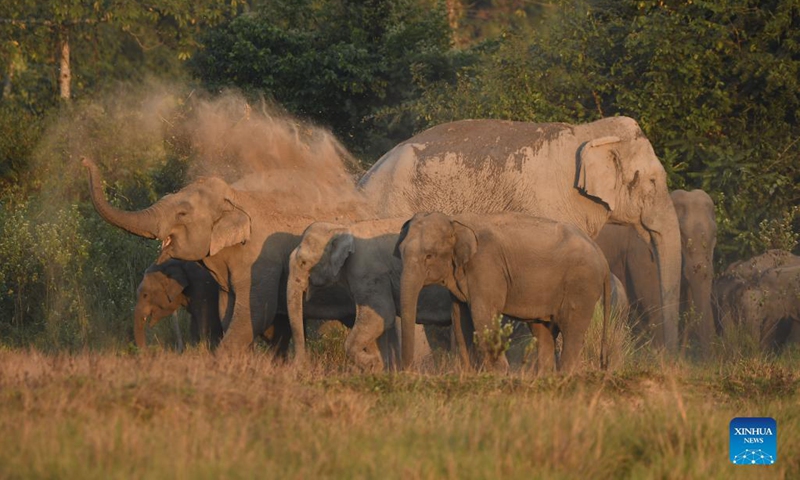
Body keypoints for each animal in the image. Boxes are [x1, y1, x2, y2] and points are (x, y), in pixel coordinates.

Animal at [396, 212, 612, 374]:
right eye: (400, 253)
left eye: (429, 256)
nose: (409, 372)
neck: (455, 222)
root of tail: (601, 254)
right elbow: (459, 318)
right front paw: (469, 373)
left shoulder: (486, 268)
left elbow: (482, 314)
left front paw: (499, 372)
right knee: (543, 332)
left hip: (581, 285)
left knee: (571, 330)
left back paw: (565, 376)